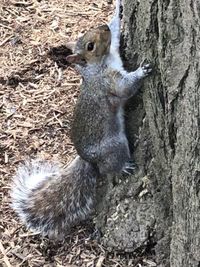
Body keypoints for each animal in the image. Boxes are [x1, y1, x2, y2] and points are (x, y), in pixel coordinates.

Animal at [10, 0, 152, 239]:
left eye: (93, 32)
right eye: (90, 46)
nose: (103, 27)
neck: (100, 63)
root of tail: (87, 158)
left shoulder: (114, 51)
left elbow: (117, 32)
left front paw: (117, 10)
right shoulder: (108, 82)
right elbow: (124, 89)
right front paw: (142, 71)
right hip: (114, 146)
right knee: (108, 167)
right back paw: (122, 168)